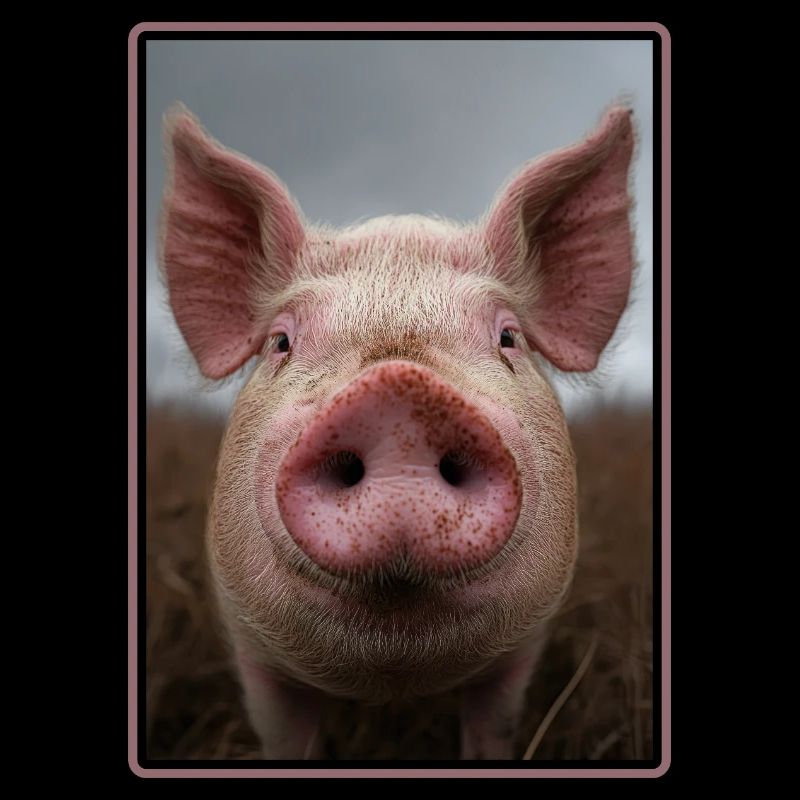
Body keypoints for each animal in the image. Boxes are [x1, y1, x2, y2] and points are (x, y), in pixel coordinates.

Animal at [158, 102, 636, 760]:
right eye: (281, 342)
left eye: (508, 338)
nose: (398, 392)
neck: (394, 677)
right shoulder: (254, 652)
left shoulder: (521, 652)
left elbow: (493, 729)